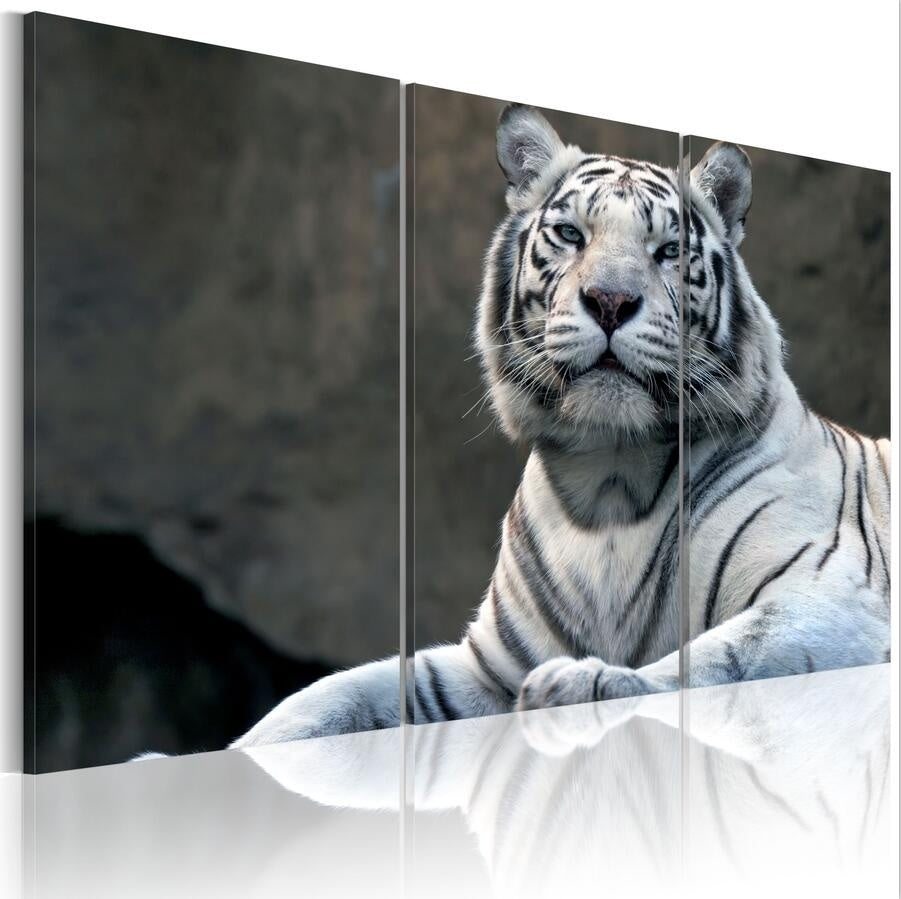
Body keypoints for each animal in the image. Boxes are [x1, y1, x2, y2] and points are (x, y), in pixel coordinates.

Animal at [232, 104, 891, 749]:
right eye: (572, 234)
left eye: (669, 250)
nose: (611, 301)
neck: (608, 481)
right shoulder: (487, 669)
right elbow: (331, 696)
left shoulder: (829, 598)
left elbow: (711, 662)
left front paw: (580, 684)